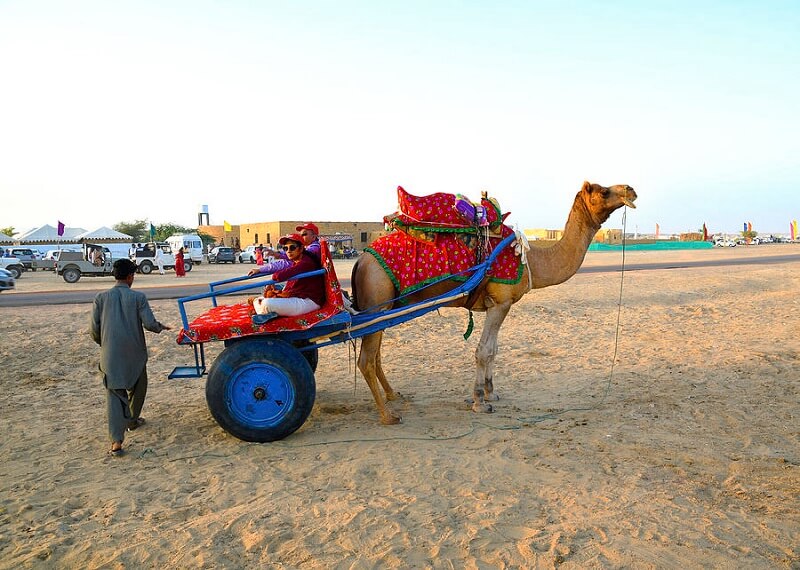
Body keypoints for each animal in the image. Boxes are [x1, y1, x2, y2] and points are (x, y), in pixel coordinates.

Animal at [350, 181, 637, 425]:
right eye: (603, 192)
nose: (630, 189)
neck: (531, 261)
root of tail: (361, 260)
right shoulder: (501, 303)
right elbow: (483, 350)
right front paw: (479, 402)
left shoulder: (497, 304)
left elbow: (495, 350)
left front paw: (491, 393)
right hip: (378, 299)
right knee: (366, 359)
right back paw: (388, 415)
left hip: (384, 309)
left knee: (375, 355)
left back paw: (393, 396)